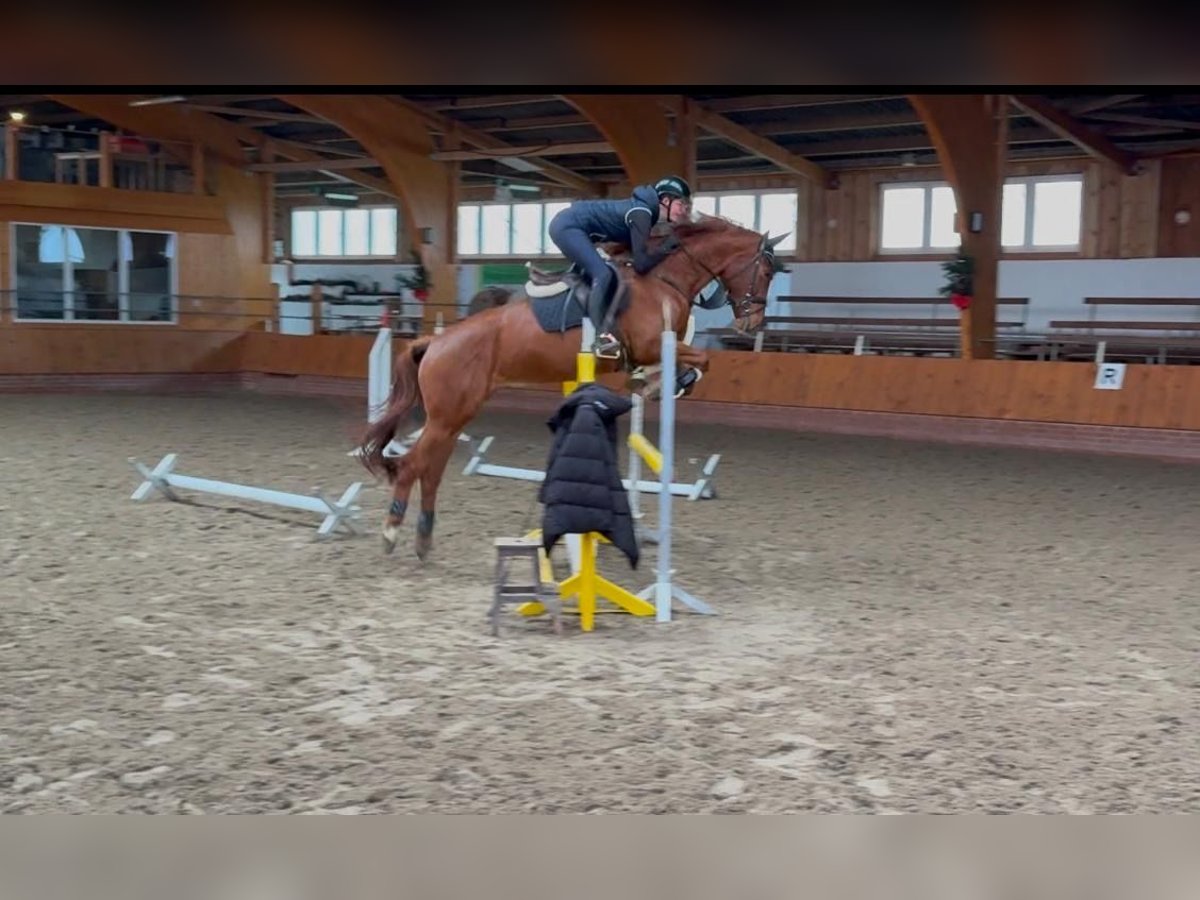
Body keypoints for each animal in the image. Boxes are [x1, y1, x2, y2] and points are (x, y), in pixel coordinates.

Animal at [355, 214, 787, 561]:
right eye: (766, 272)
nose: (751, 325)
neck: (664, 279)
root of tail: (435, 342)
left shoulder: (658, 348)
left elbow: (693, 363)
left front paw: (654, 382)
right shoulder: (652, 344)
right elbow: (700, 360)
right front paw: (657, 384)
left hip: (455, 416)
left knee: (431, 471)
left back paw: (423, 540)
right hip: (447, 417)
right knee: (413, 466)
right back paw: (391, 534)